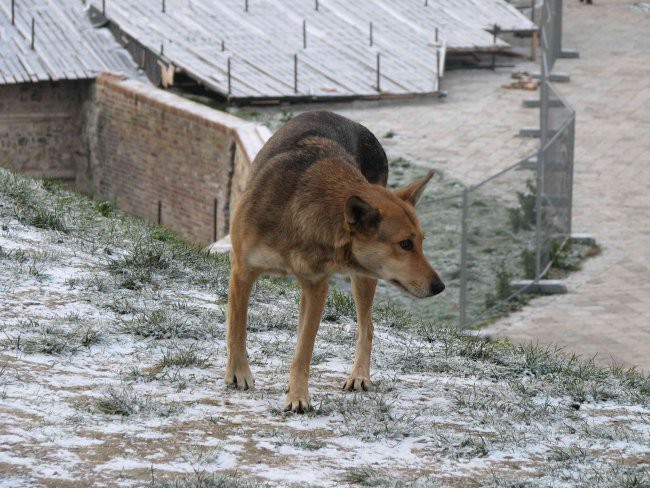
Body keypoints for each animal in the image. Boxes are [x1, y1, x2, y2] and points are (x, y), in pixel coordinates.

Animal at [225, 111, 442, 412]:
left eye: (421, 241)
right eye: (405, 244)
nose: (439, 286)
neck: (299, 213)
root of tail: (345, 118)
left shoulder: (318, 287)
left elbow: (304, 351)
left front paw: (298, 396)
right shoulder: (242, 270)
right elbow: (238, 327)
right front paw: (238, 374)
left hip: (364, 277)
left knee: (367, 328)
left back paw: (359, 376)